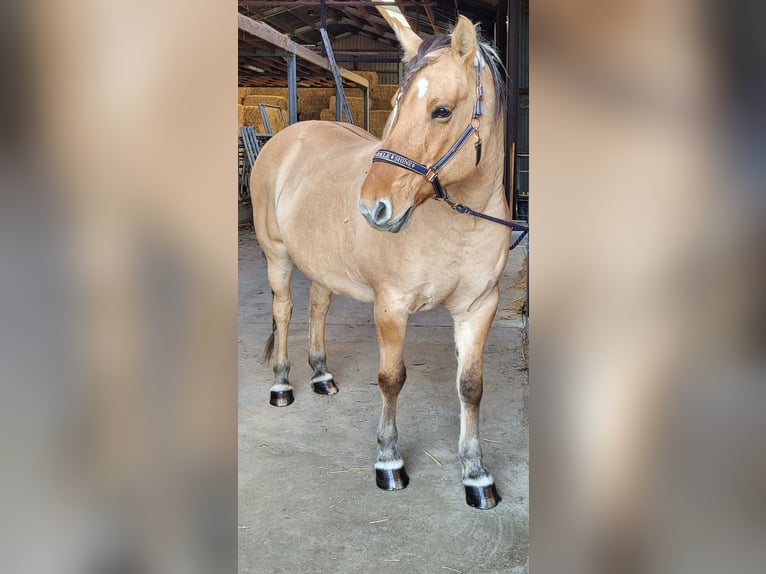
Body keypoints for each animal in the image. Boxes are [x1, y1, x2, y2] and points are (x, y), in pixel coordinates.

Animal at [252, 16, 512, 512]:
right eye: (396, 104)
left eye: (442, 111)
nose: (374, 207)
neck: (458, 221)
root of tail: (286, 137)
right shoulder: (390, 307)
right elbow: (391, 379)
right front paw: (389, 461)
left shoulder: (479, 307)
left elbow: (471, 385)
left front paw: (476, 474)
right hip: (277, 256)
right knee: (284, 311)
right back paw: (282, 386)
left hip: (322, 265)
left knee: (317, 308)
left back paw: (321, 375)